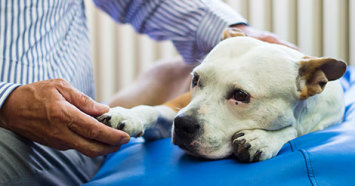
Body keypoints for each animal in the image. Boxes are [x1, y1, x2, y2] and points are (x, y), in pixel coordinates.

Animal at [96, 35, 344, 162]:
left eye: (241, 95)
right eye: (196, 79)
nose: (183, 124)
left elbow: (294, 130)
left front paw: (262, 139)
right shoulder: (176, 108)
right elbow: (153, 109)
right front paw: (126, 115)